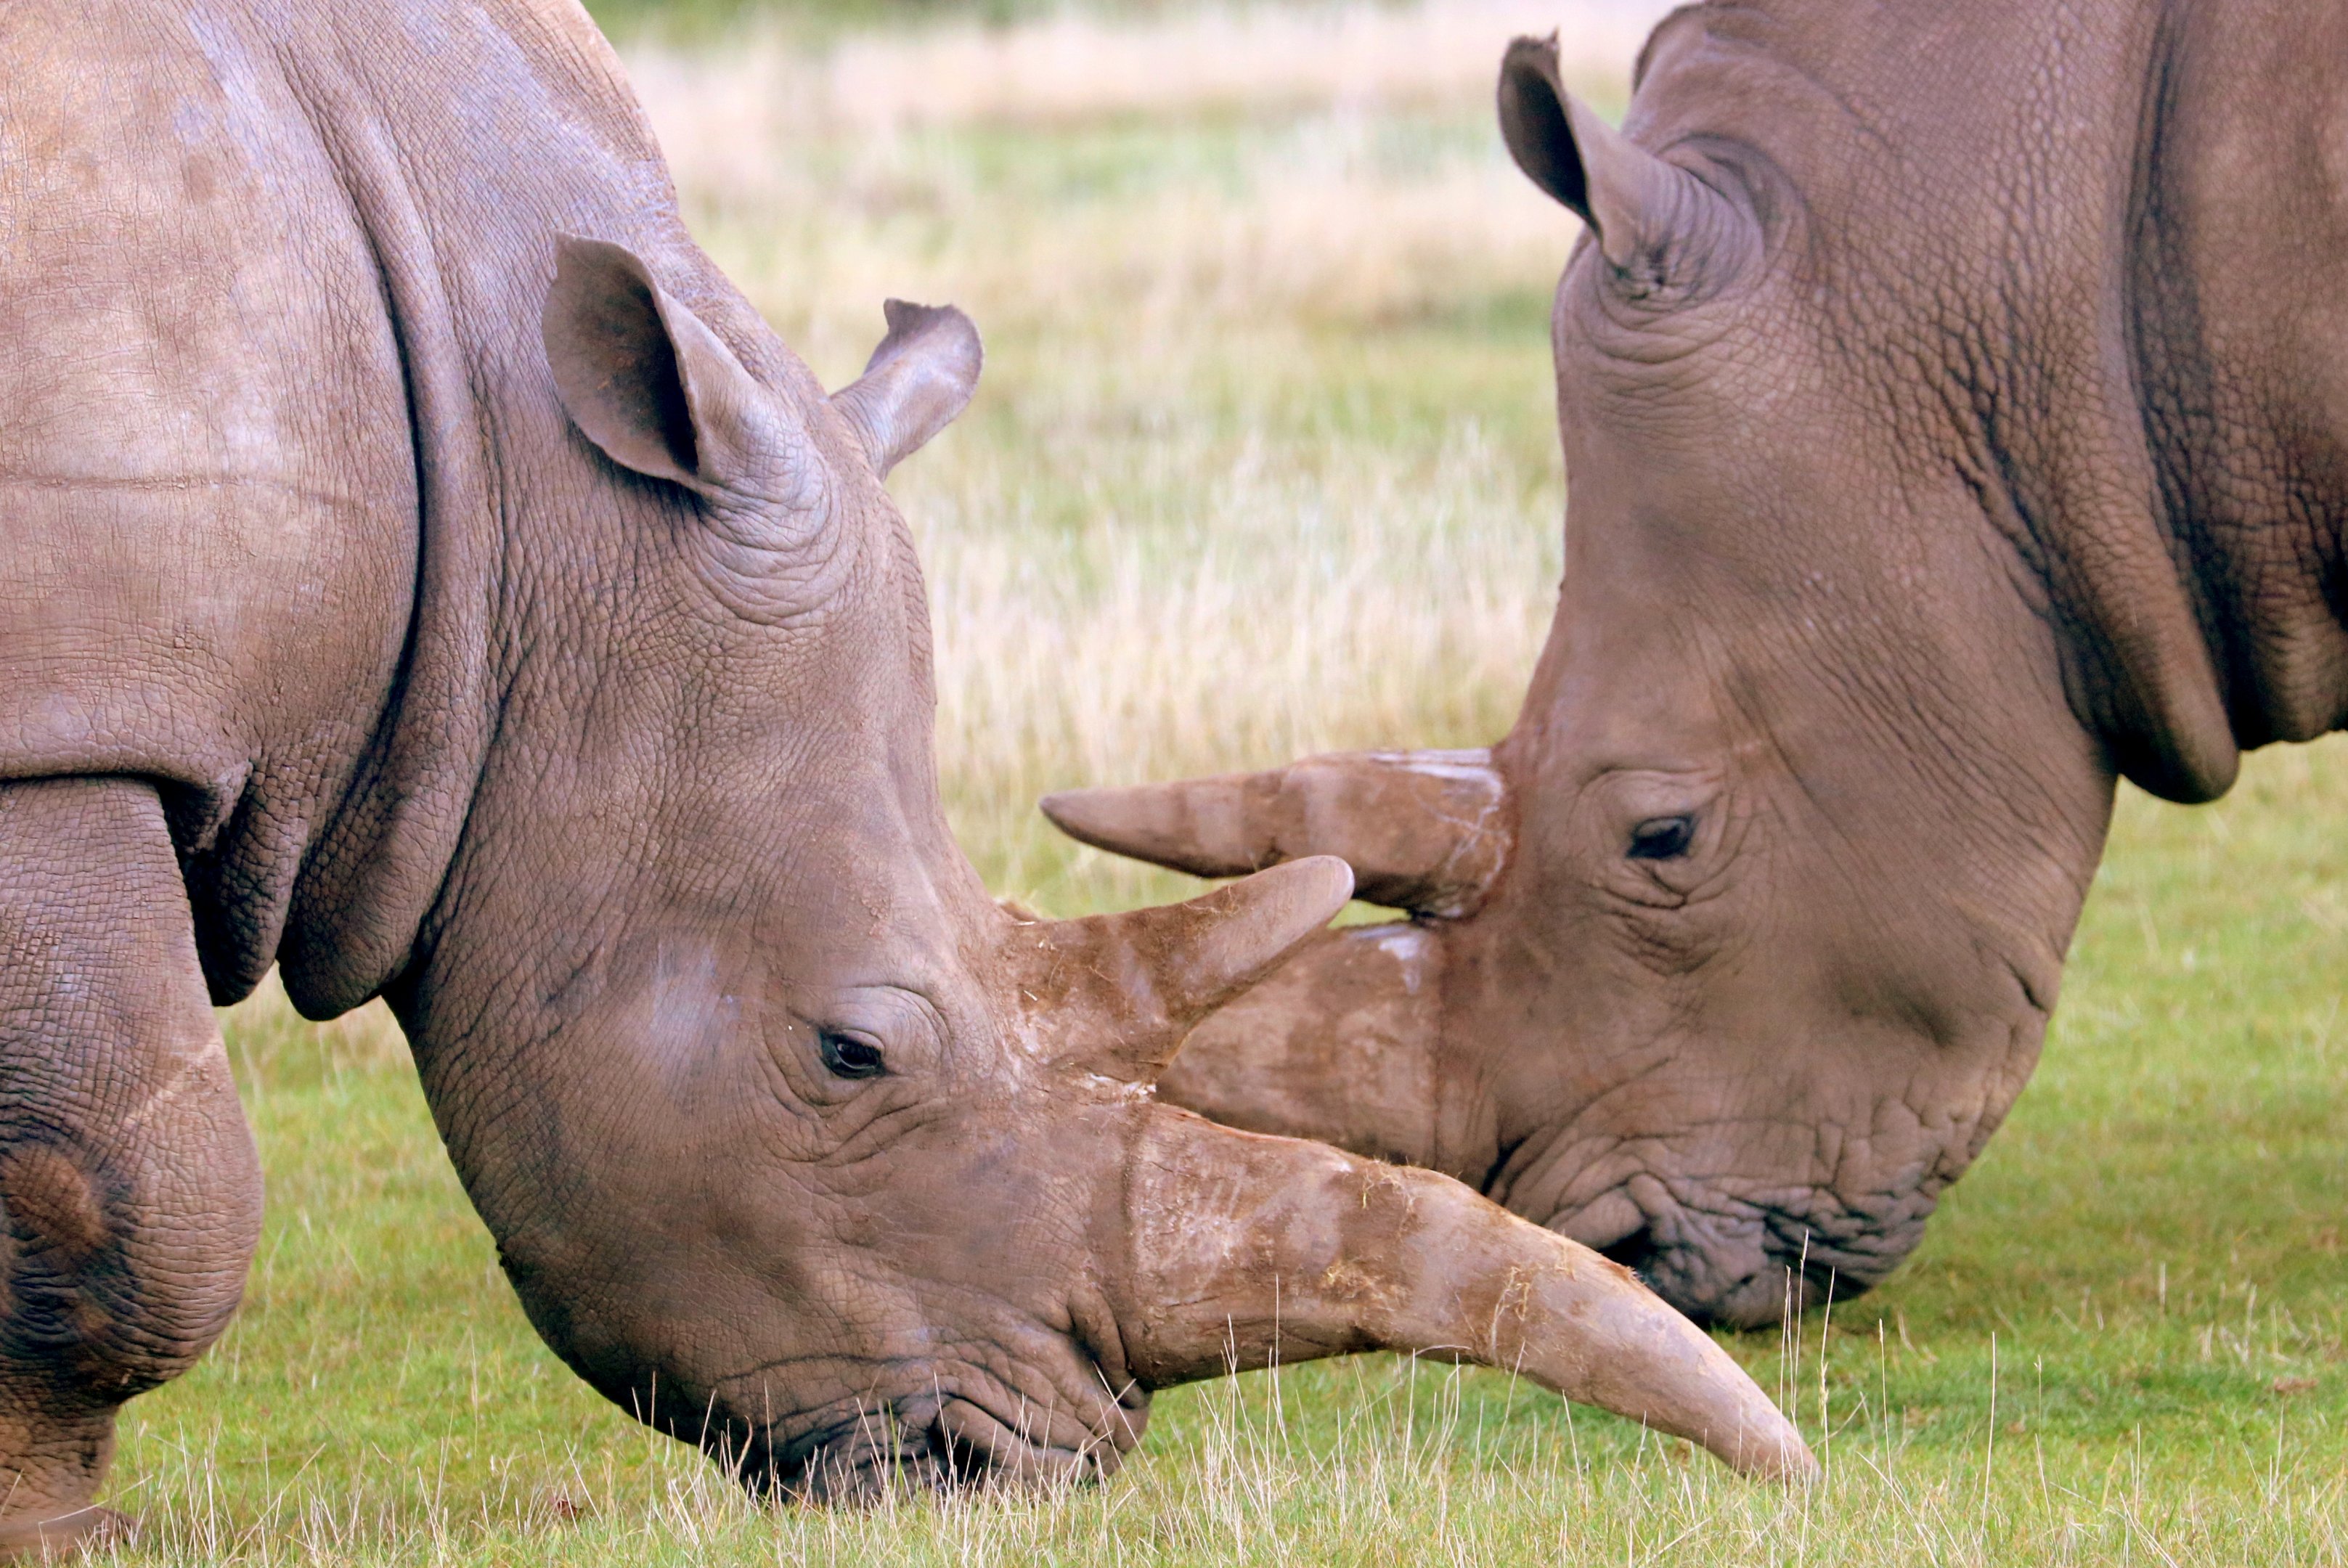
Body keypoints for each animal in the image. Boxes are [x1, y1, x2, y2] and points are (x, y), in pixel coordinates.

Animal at [0, 0, 1818, 1548]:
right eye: (851, 1052)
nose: (1022, 1472)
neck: (519, 517)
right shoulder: (68, 733)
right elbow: (138, 1194)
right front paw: (53, 1524)